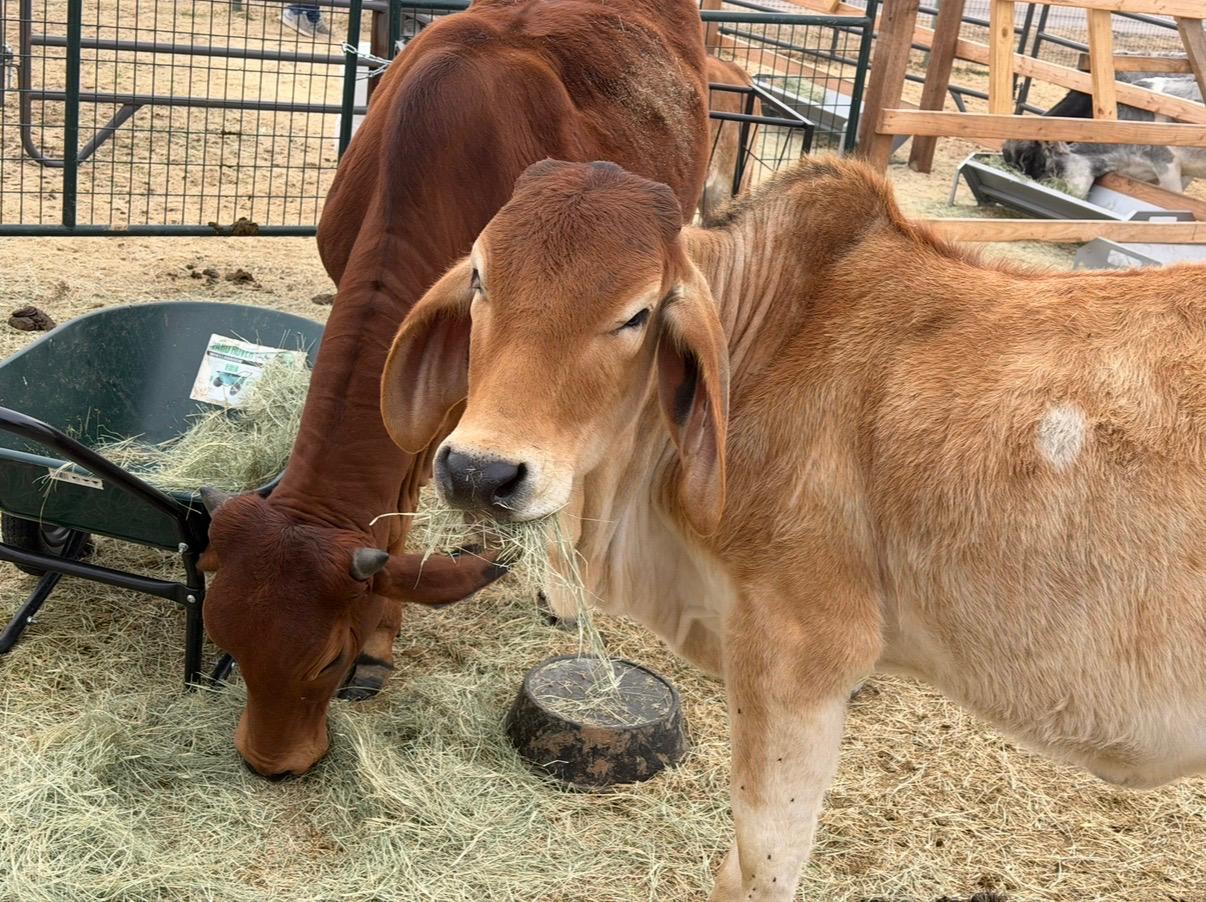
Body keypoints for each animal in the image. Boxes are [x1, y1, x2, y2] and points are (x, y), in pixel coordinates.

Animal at [380, 156, 1206, 899]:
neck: (775, 337)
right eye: (481, 279)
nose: (480, 472)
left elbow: (760, 865)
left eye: (637, 314)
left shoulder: (800, 657)